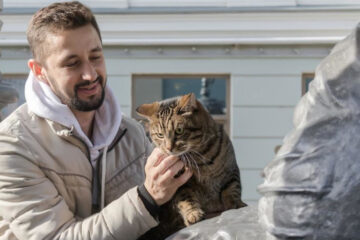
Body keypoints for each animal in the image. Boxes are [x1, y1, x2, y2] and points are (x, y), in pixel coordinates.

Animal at [136, 93, 246, 239]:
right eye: (160, 135)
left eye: (179, 130)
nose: (169, 148)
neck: (201, 156)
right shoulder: (179, 184)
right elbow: (186, 197)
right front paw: (193, 214)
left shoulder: (231, 171)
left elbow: (232, 190)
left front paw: (236, 206)